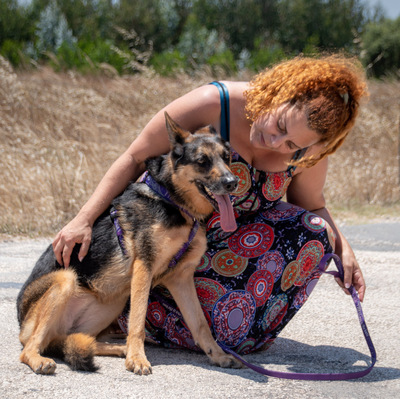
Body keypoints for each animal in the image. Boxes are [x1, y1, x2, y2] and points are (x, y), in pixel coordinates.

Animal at [16, 111, 241, 376]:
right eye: (202, 161)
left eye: (226, 157)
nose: (232, 182)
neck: (173, 201)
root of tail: (21, 324)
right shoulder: (144, 267)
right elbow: (138, 321)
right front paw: (137, 358)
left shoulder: (181, 278)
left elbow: (200, 324)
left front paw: (218, 355)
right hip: (65, 280)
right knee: (30, 348)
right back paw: (40, 359)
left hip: (113, 301)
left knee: (73, 339)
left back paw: (117, 348)